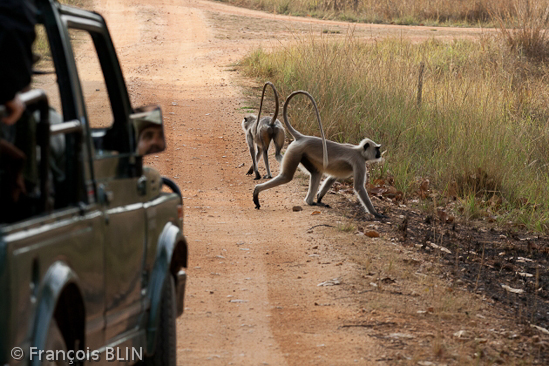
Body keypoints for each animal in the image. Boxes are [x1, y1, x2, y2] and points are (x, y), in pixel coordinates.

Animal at [253, 90, 386, 219]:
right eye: (377, 149)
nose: (379, 154)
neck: (359, 150)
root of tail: (302, 137)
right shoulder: (359, 162)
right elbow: (359, 187)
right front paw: (376, 214)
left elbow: (332, 178)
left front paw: (319, 198)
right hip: (295, 151)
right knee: (286, 176)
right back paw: (257, 190)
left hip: (303, 155)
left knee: (316, 173)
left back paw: (311, 202)